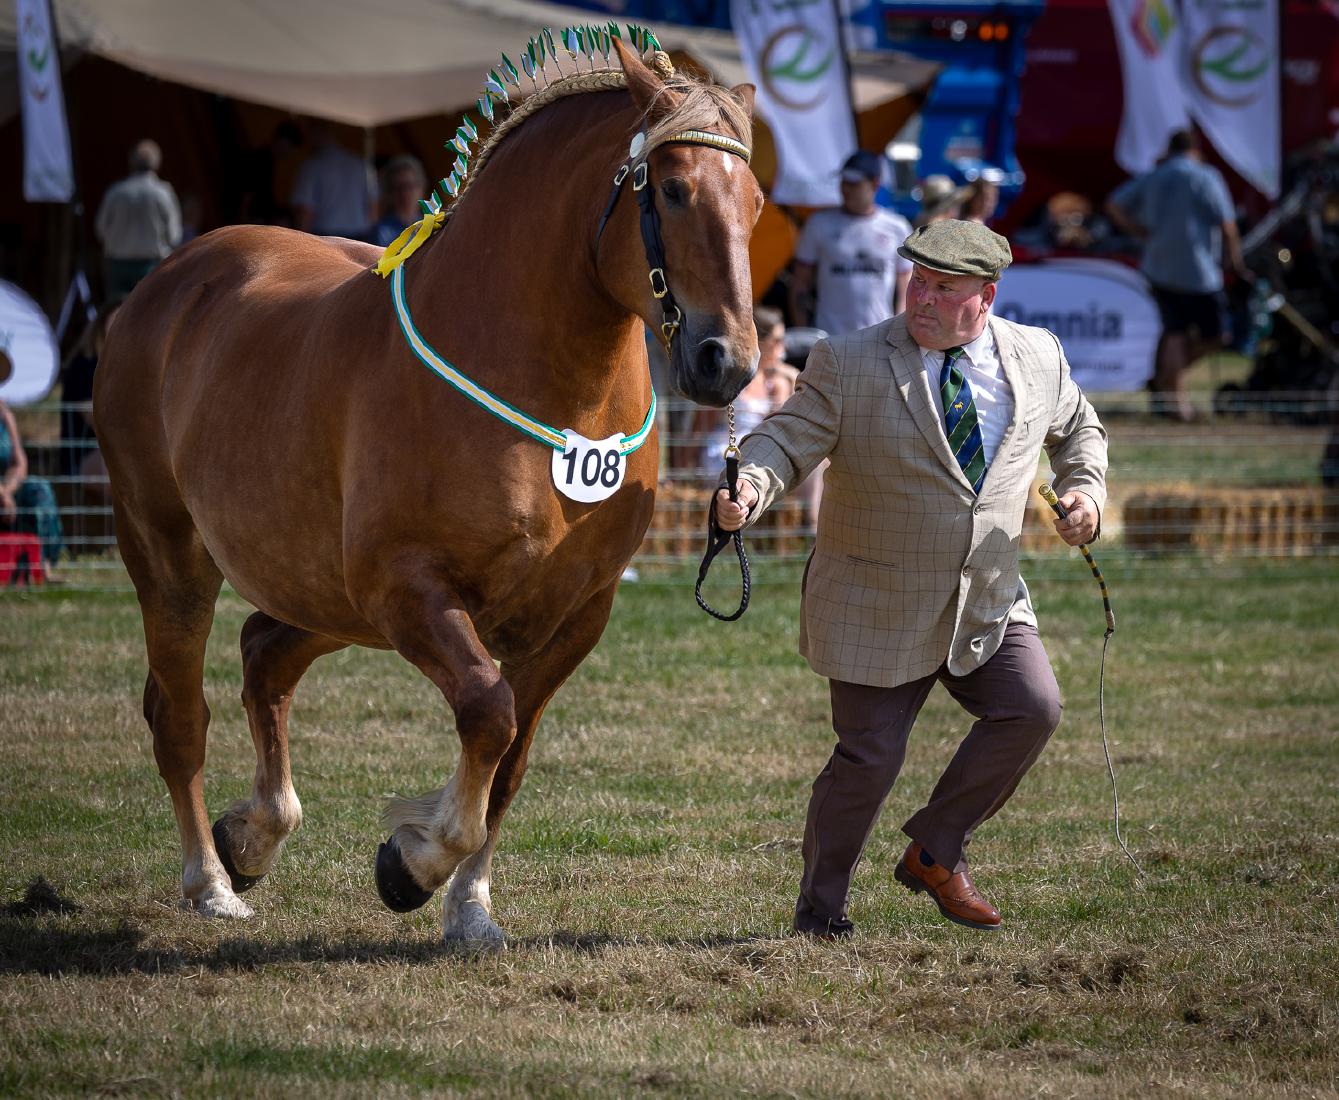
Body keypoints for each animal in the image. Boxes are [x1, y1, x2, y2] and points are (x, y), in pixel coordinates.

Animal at [93, 38, 761, 944]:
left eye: (756, 202)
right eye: (672, 189)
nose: (728, 362)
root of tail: (167, 282)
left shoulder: (572, 617)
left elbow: (510, 761)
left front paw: (469, 906)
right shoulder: (409, 590)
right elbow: (487, 711)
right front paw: (414, 861)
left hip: (325, 594)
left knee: (264, 654)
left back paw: (254, 833)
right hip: (175, 559)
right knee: (181, 718)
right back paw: (211, 881)